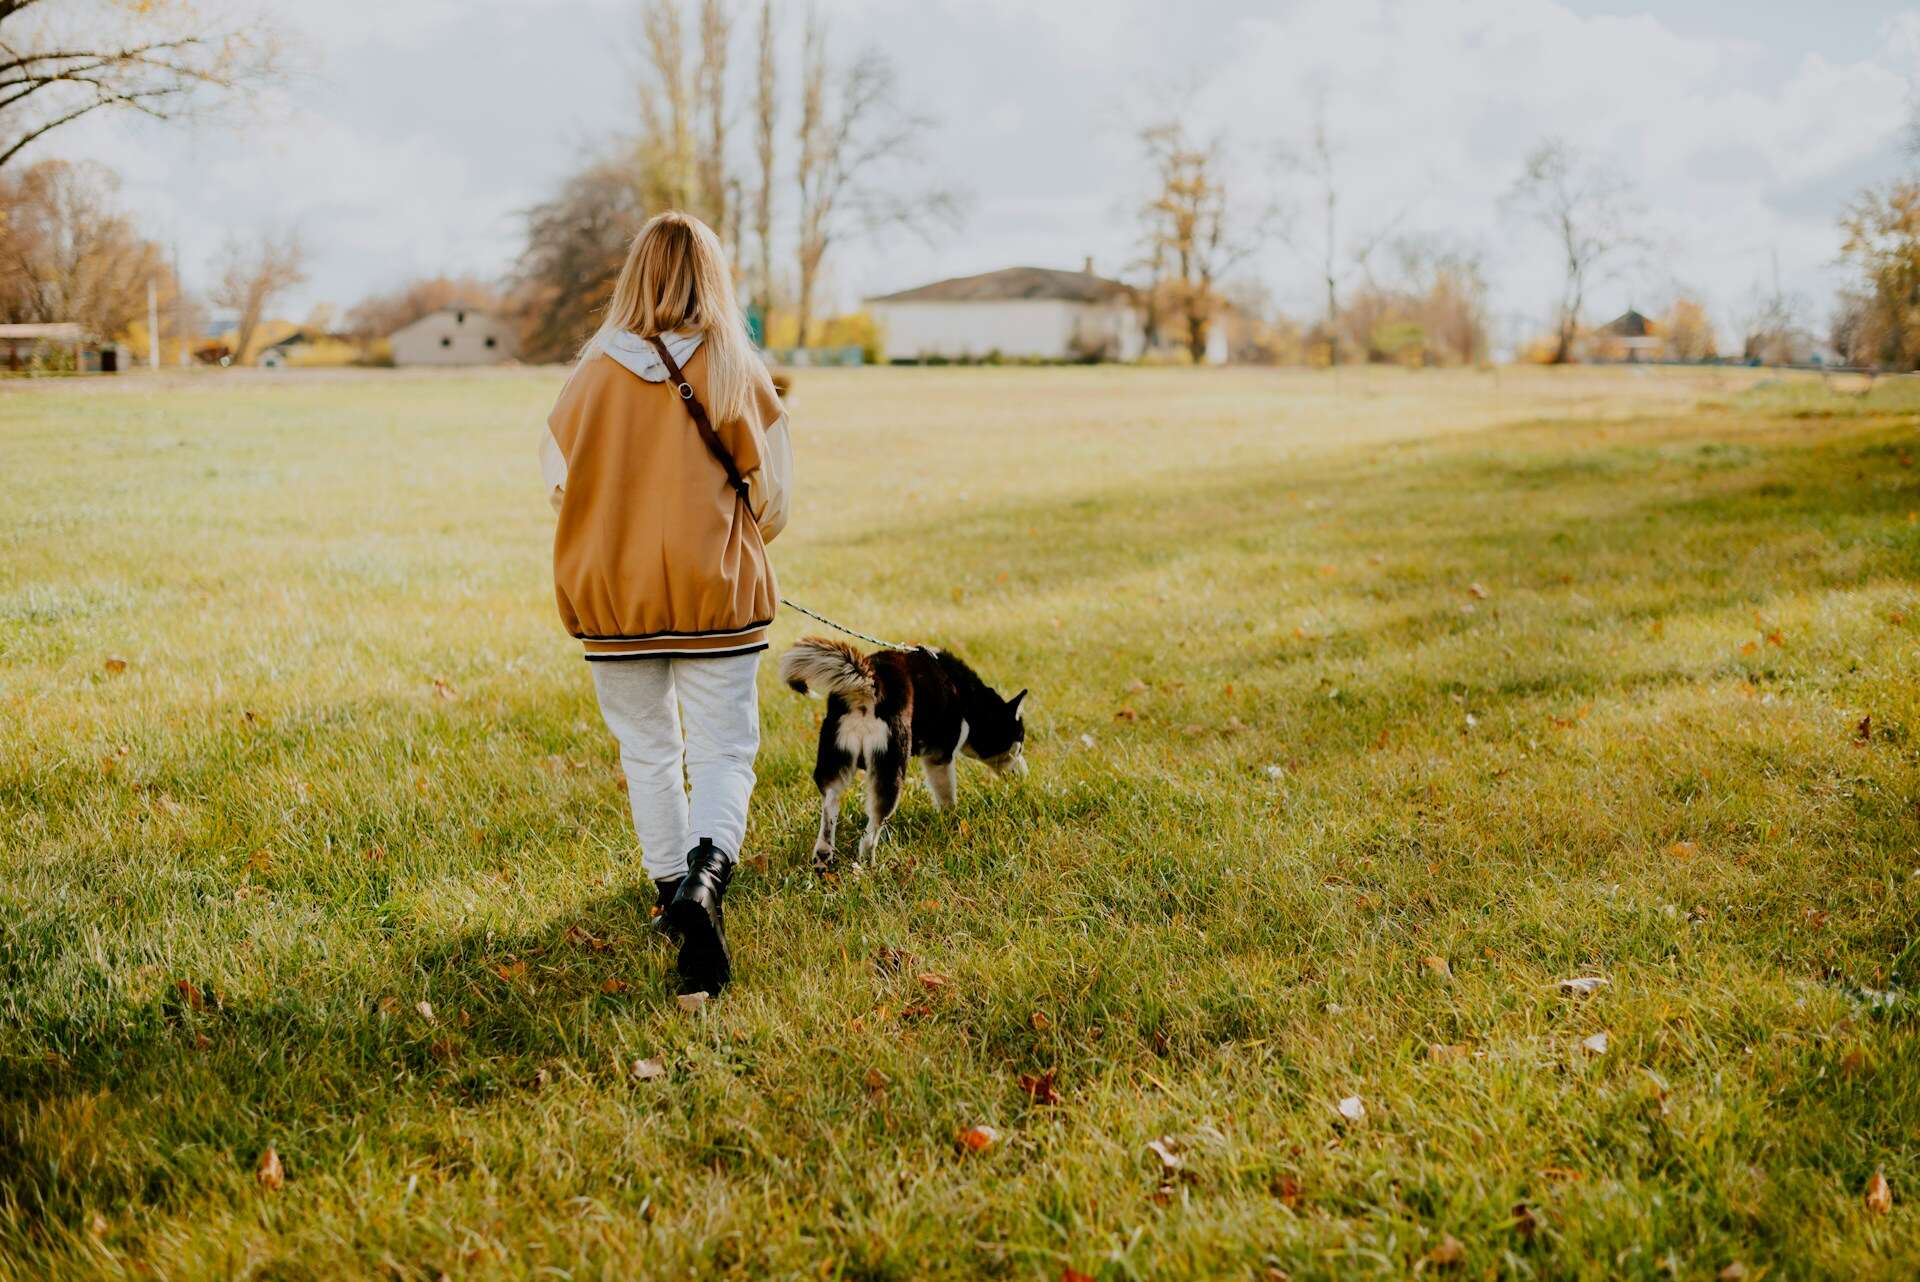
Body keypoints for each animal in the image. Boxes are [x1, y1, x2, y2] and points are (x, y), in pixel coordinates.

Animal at [775, 637, 1029, 867]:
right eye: (1019, 744)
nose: (1025, 776)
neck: (968, 699)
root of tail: (871, 684)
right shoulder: (940, 756)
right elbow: (947, 796)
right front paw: (950, 820)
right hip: (891, 766)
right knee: (871, 832)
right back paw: (870, 865)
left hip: (834, 760)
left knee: (830, 804)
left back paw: (823, 856)